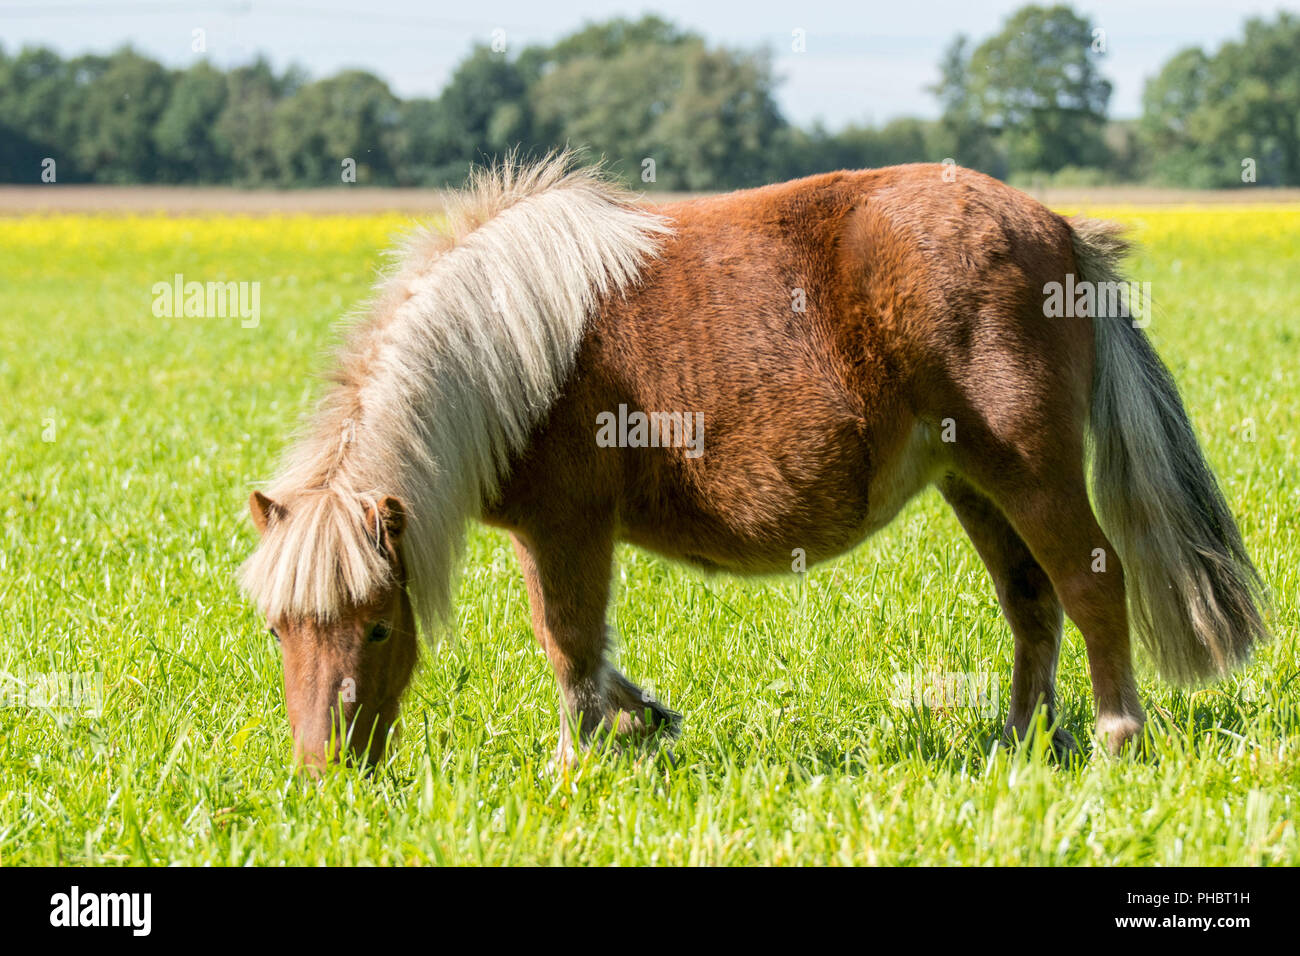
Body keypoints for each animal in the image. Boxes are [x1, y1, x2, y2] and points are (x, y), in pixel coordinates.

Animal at [239, 153, 1263, 775]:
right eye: (279, 630)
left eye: (377, 628)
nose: (323, 775)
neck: (509, 347)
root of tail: (1061, 230)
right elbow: (594, 655)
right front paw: (642, 720)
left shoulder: (565, 527)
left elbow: (567, 642)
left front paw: (575, 763)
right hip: (975, 483)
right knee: (1031, 602)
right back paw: (1019, 745)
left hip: (1032, 473)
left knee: (1092, 583)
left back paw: (1116, 735)